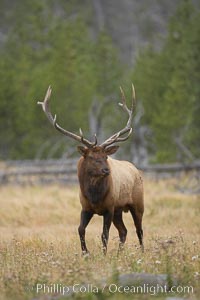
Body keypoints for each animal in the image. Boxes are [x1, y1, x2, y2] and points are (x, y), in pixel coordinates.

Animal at [37, 86, 144, 255]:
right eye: (92, 157)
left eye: (106, 156)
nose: (106, 170)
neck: (94, 196)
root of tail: (136, 170)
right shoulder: (86, 208)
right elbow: (80, 229)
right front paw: (85, 253)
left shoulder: (109, 208)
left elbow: (104, 235)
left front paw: (104, 255)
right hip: (119, 210)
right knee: (124, 231)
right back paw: (119, 254)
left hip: (137, 204)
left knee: (139, 230)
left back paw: (142, 252)